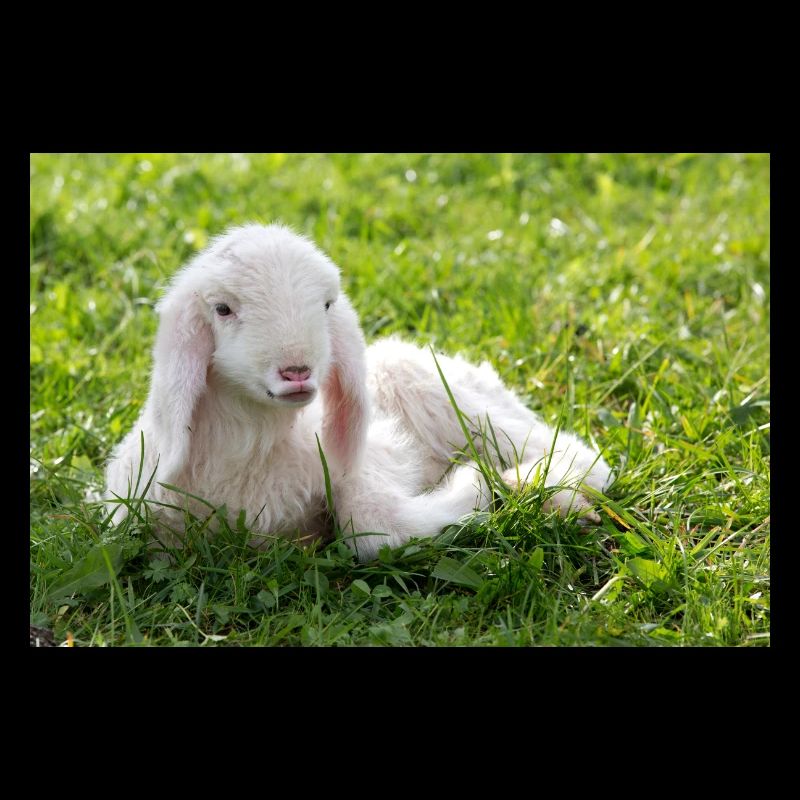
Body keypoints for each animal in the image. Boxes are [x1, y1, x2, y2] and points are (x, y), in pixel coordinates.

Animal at [105, 223, 613, 562]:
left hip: (438, 391)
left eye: (328, 305)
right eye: (223, 309)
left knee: (581, 456)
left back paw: (532, 488)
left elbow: (370, 527)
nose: (297, 371)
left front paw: (472, 484)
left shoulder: (368, 458)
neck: (254, 445)